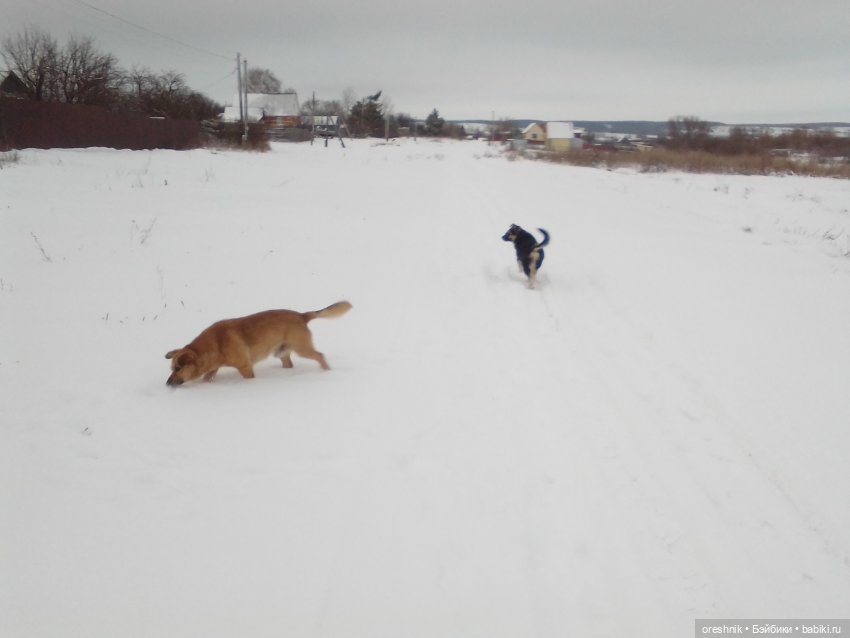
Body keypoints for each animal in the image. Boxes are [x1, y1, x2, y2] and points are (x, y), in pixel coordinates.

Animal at [165, 301, 352, 386]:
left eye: (178, 368)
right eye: (172, 368)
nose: (167, 384)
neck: (215, 344)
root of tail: (302, 315)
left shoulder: (245, 367)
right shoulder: (213, 369)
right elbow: (207, 377)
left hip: (302, 348)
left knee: (320, 356)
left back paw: (326, 371)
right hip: (282, 353)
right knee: (290, 364)